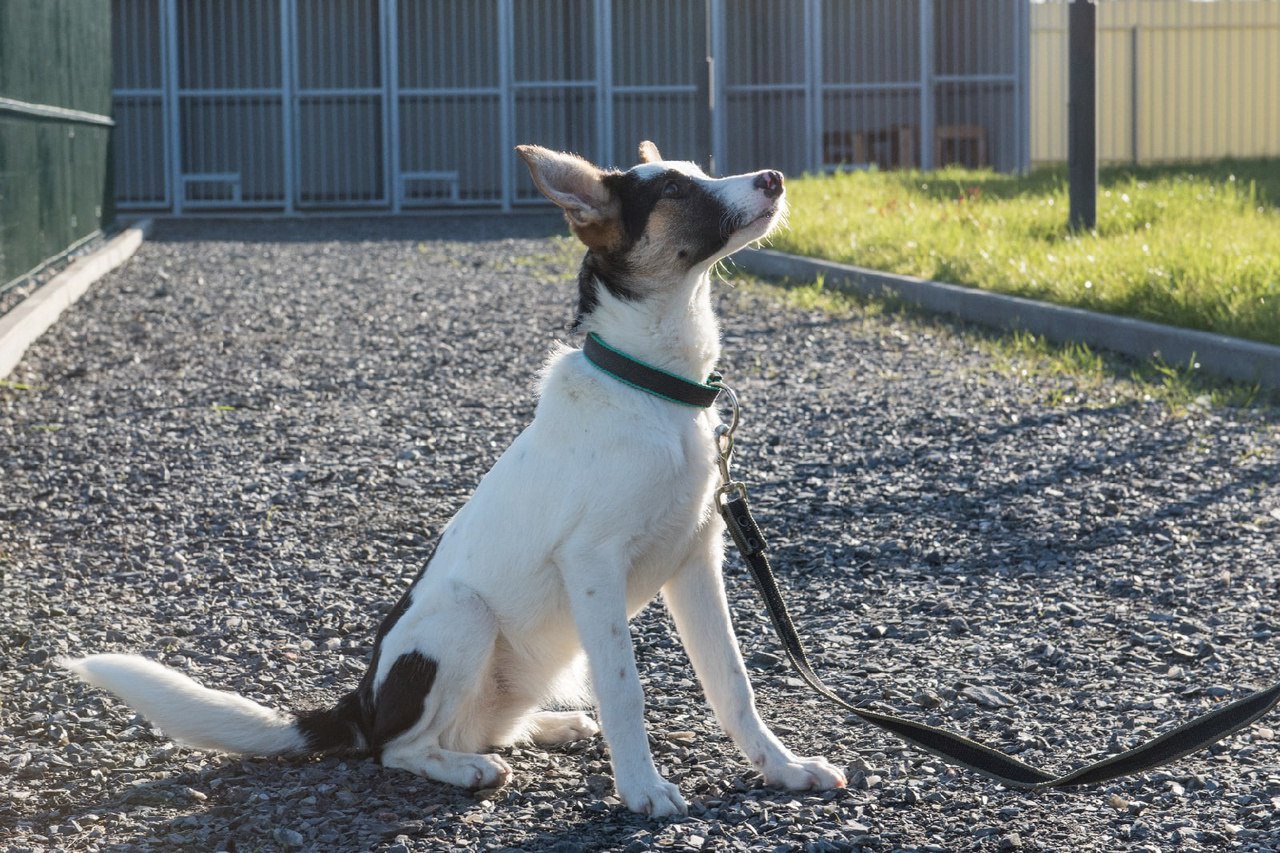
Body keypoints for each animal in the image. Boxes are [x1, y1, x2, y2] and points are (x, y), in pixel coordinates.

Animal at [60, 142, 844, 814]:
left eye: (704, 170)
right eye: (676, 190)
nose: (774, 177)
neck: (654, 390)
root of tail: (360, 701)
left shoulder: (697, 560)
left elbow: (733, 684)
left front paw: (783, 768)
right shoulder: (593, 564)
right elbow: (627, 691)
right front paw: (643, 790)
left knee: (486, 724)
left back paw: (552, 724)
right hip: (463, 619)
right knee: (399, 749)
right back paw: (465, 768)